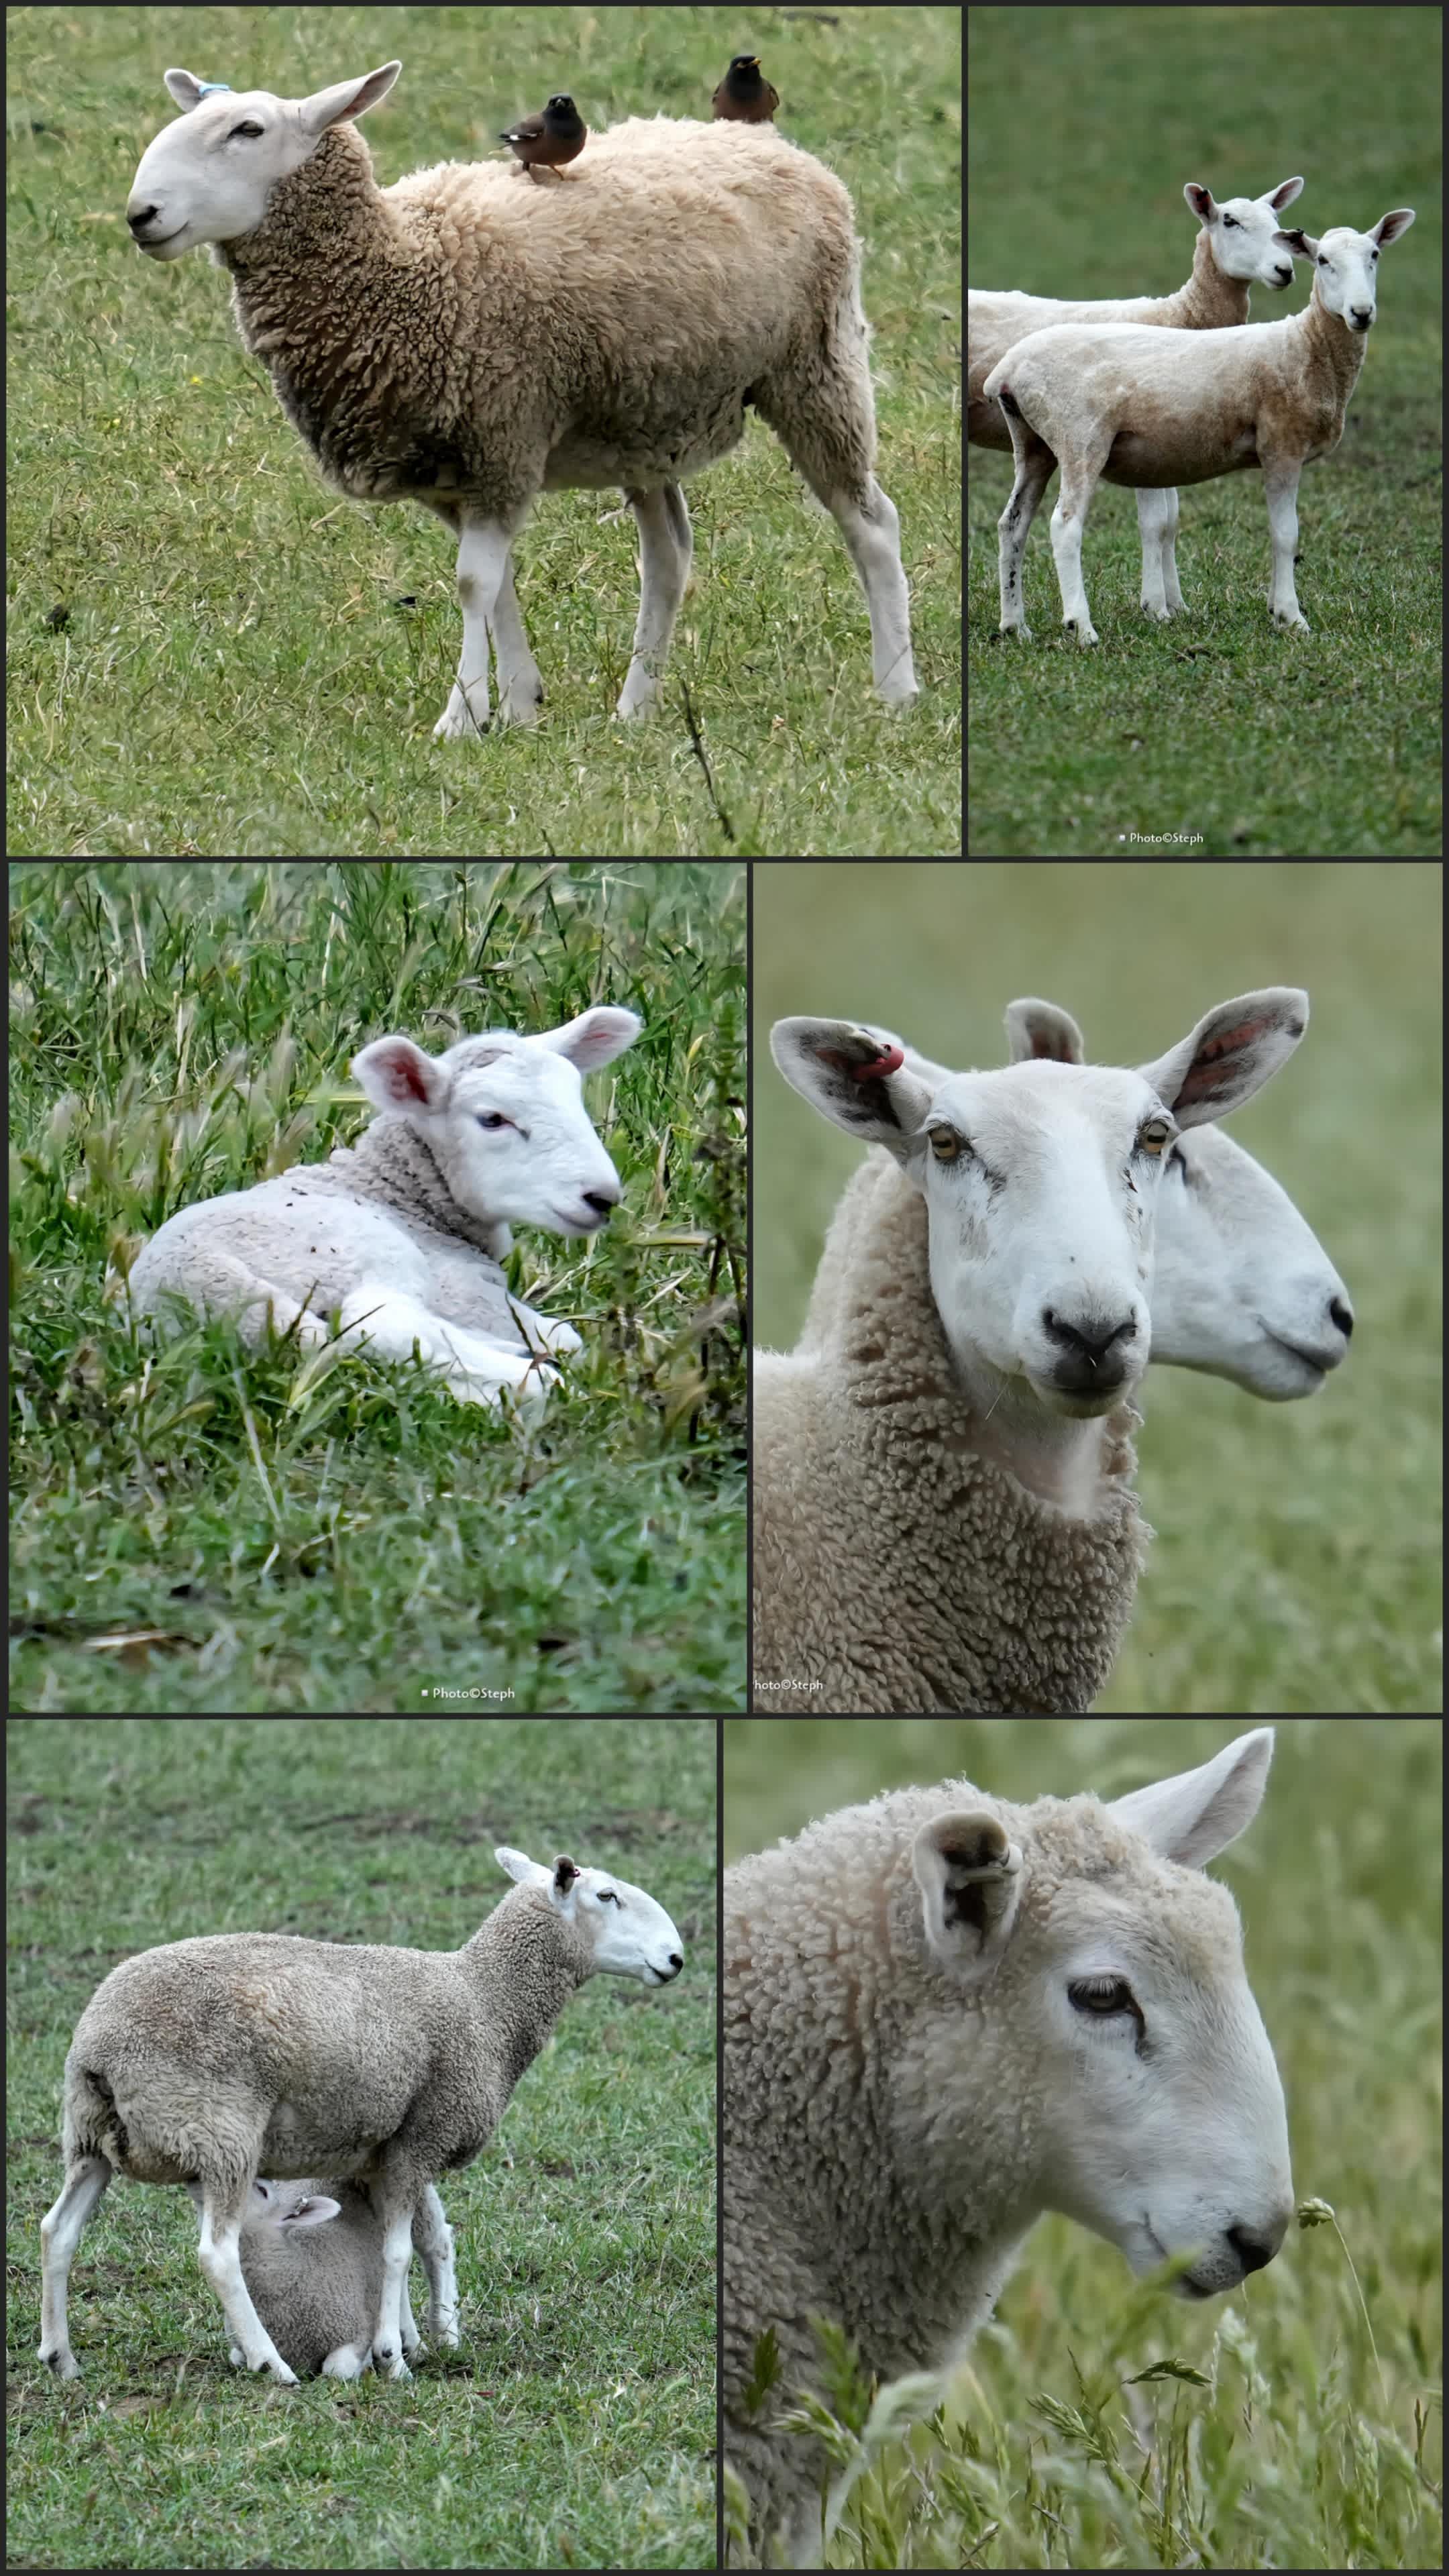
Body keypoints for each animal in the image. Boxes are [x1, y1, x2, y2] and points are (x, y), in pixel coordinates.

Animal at [37, 1844, 684, 2385]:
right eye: (607, 1896)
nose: (676, 1958)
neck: (484, 2001)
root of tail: (99, 2048)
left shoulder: (401, 2140)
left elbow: (430, 2240)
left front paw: (434, 2337)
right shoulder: (425, 2135)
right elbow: (398, 2252)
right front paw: (393, 2357)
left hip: (90, 2139)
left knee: (58, 2230)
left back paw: (61, 2358)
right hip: (221, 2134)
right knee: (218, 2255)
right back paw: (272, 2364)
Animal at [125, 62, 918, 735]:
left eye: (248, 130)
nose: (141, 215)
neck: (401, 268)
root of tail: (764, 141)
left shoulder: (501, 436)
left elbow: (472, 583)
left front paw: (459, 717)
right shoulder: (460, 468)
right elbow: (497, 584)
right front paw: (515, 706)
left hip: (816, 366)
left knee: (870, 523)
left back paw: (896, 687)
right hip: (642, 415)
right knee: (667, 557)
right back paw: (635, 707)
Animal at [125, 1005, 641, 1412]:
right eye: (493, 1119)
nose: (603, 1197)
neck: (398, 1192)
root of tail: (198, 1286)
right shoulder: (469, 1292)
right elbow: (568, 1337)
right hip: (358, 1253)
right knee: (382, 1328)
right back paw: (533, 1382)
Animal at [970, 178, 1303, 622]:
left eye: (1278, 221)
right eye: (1229, 221)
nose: (1284, 269)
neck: (1181, 316)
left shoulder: (1171, 441)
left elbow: (1172, 520)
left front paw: (1177, 604)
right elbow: (1156, 524)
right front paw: (1157, 608)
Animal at [985, 208, 1416, 644]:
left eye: (1375, 255)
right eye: (1324, 261)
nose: (1361, 312)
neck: (1305, 346)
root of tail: (1008, 369)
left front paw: (1276, 609)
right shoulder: (1281, 445)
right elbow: (1285, 535)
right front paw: (1292, 617)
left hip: (1033, 444)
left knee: (1013, 524)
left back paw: (1014, 624)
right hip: (1079, 438)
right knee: (1065, 526)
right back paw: (1081, 626)